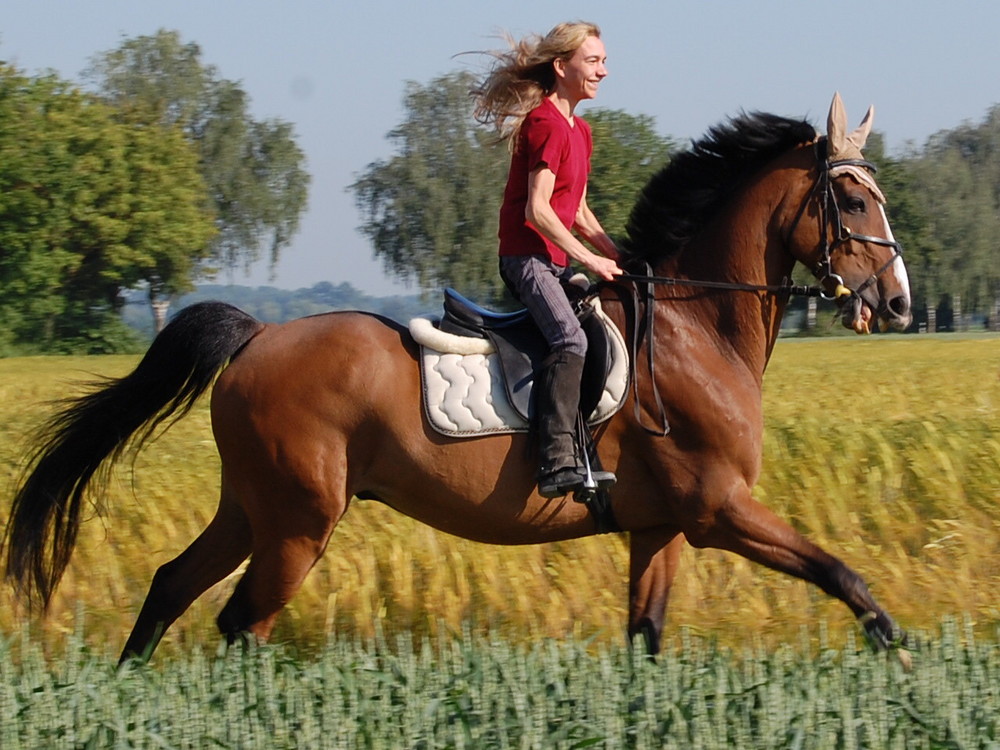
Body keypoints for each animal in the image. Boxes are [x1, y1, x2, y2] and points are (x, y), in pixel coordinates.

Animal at [3, 95, 912, 664]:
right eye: (853, 202)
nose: (899, 303)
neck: (696, 328)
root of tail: (259, 337)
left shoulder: (660, 527)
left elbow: (646, 639)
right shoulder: (719, 509)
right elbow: (844, 575)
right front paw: (899, 655)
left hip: (254, 507)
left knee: (171, 587)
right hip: (299, 522)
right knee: (241, 623)